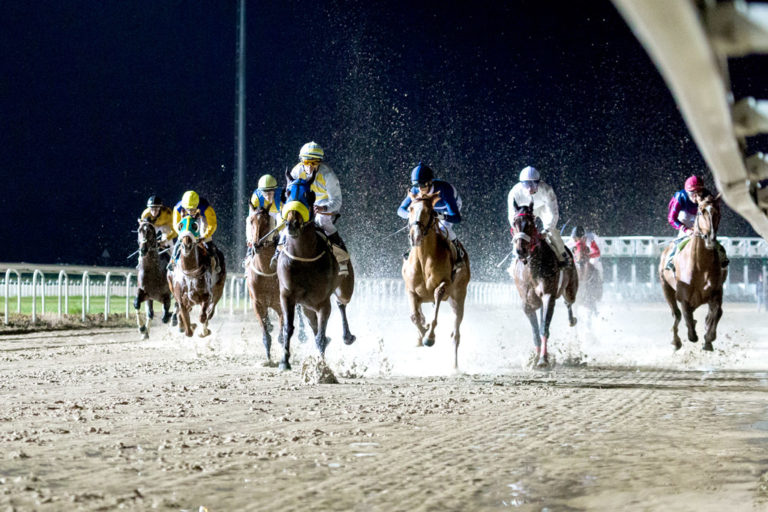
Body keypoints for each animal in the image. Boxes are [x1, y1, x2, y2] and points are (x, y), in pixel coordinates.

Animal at [276, 174, 356, 370]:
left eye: (308, 194)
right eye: (287, 192)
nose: (292, 224)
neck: (302, 255)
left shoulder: (322, 301)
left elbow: (320, 334)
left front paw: (322, 367)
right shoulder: (287, 295)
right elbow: (289, 327)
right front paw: (284, 361)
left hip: (345, 289)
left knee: (341, 303)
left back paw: (347, 336)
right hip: (307, 305)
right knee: (313, 323)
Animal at [402, 192, 468, 368]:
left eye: (430, 211)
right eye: (410, 208)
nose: (415, 236)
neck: (423, 258)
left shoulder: (443, 286)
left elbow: (438, 293)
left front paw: (429, 336)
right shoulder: (411, 291)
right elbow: (414, 317)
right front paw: (421, 333)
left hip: (458, 297)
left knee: (456, 334)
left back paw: (455, 367)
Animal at [510, 204, 576, 368]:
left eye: (530, 224)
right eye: (514, 223)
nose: (520, 250)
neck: (532, 267)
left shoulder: (548, 296)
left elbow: (543, 328)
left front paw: (543, 359)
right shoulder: (527, 303)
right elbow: (535, 333)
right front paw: (535, 358)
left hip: (570, 289)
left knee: (569, 302)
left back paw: (572, 320)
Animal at [660, 194, 728, 350]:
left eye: (718, 212)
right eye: (700, 212)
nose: (710, 238)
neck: (700, 266)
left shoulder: (716, 293)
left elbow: (716, 313)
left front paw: (708, 339)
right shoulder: (683, 296)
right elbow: (687, 320)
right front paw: (692, 335)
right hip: (665, 287)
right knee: (676, 314)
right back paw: (676, 341)